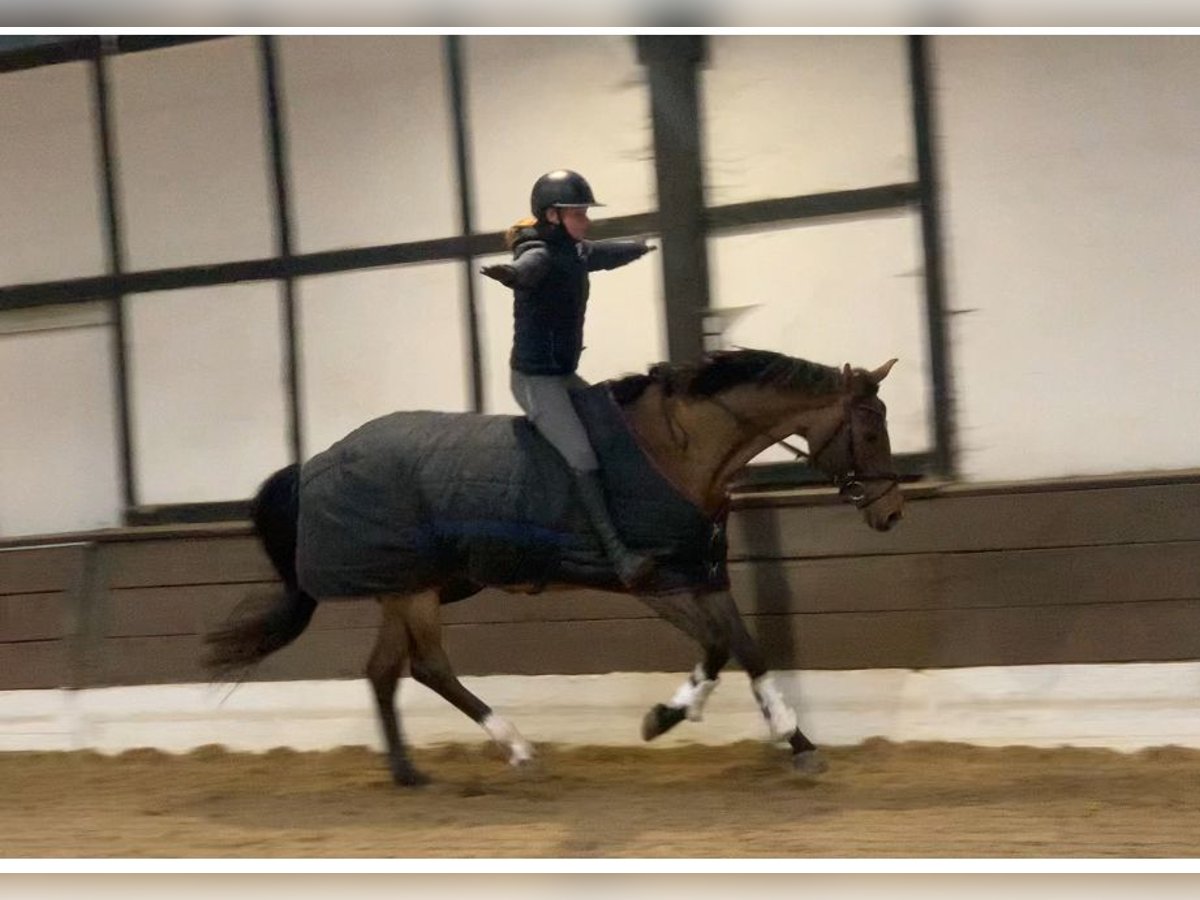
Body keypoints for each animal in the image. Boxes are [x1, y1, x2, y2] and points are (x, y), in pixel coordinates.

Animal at [204, 348, 902, 787]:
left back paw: (410, 774)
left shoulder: (702, 573)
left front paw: (797, 741)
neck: (680, 451)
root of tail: (316, 460)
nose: (892, 512)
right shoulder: (656, 580)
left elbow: (747, 647)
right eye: (870, 431)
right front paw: (665, 717)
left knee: (384, 672)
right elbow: (716, 646)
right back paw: (516, 748)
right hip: (413, 589)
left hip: (412, 586)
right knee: (427, 667)